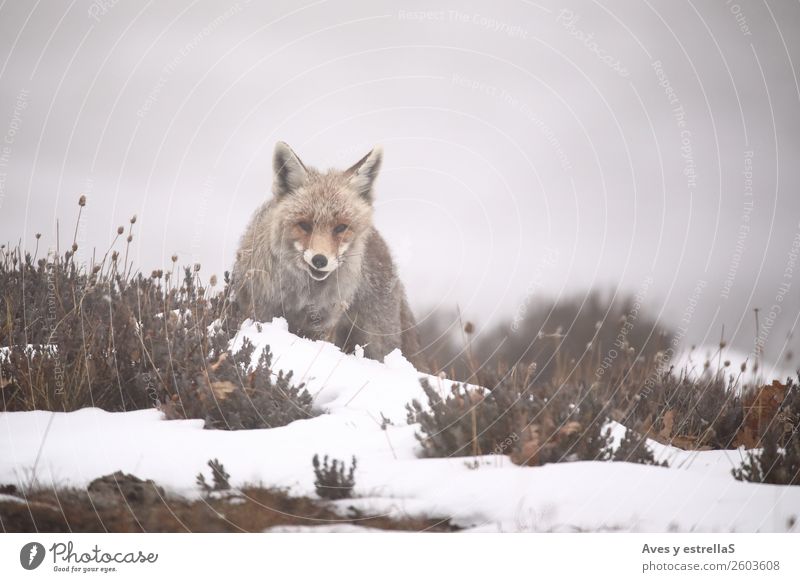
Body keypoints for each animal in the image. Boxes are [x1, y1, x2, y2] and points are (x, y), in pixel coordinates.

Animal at [233, 141, 424, 370]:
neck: (301, 297)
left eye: (340, 227)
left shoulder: (322, 326)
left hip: (377, 341)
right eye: (304, 225)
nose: (319, 260)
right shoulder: (261, 312)